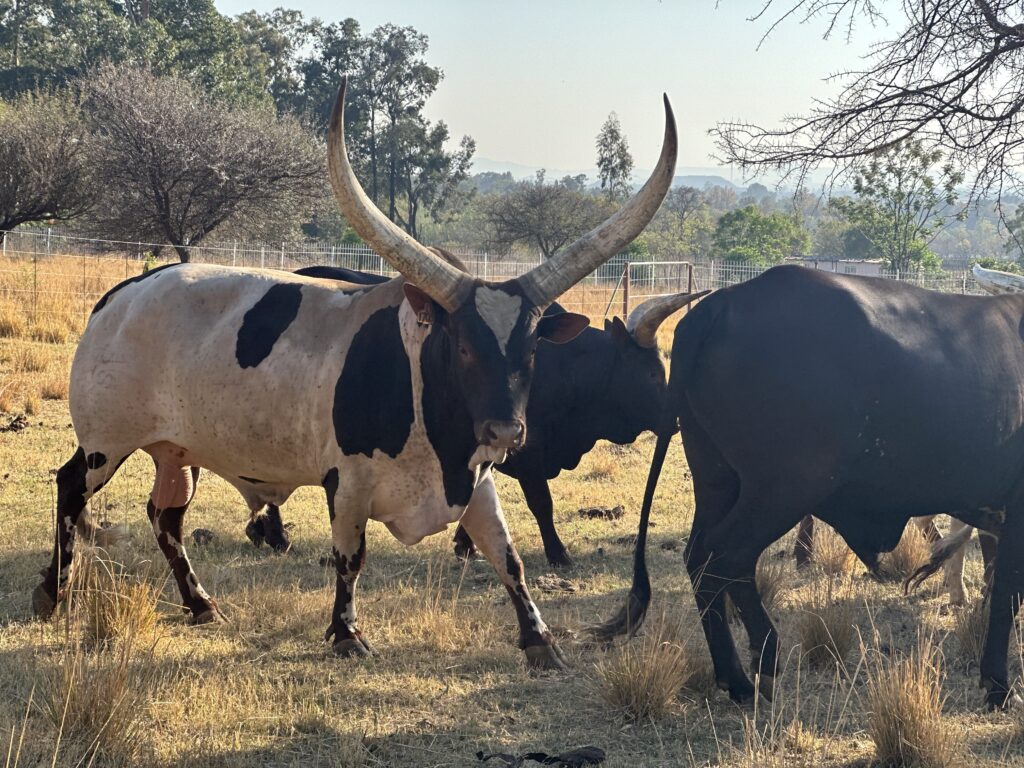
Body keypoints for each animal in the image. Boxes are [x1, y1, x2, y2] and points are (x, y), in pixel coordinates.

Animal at [245, 263, 708, 566]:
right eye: (653, 372)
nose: (676, 420)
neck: (566, 367)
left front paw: (464, 545)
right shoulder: (526, 451)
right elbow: (542, 503)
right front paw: (558, 553)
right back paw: (274, 537)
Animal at [597, 264, 1023, 708]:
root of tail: (718, 306)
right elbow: (1007, 592)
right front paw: (998, 684)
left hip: (718, 481)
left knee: (700, 558)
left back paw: (735, 677)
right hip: (783, 489)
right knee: (726, 556)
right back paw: (763, 660)